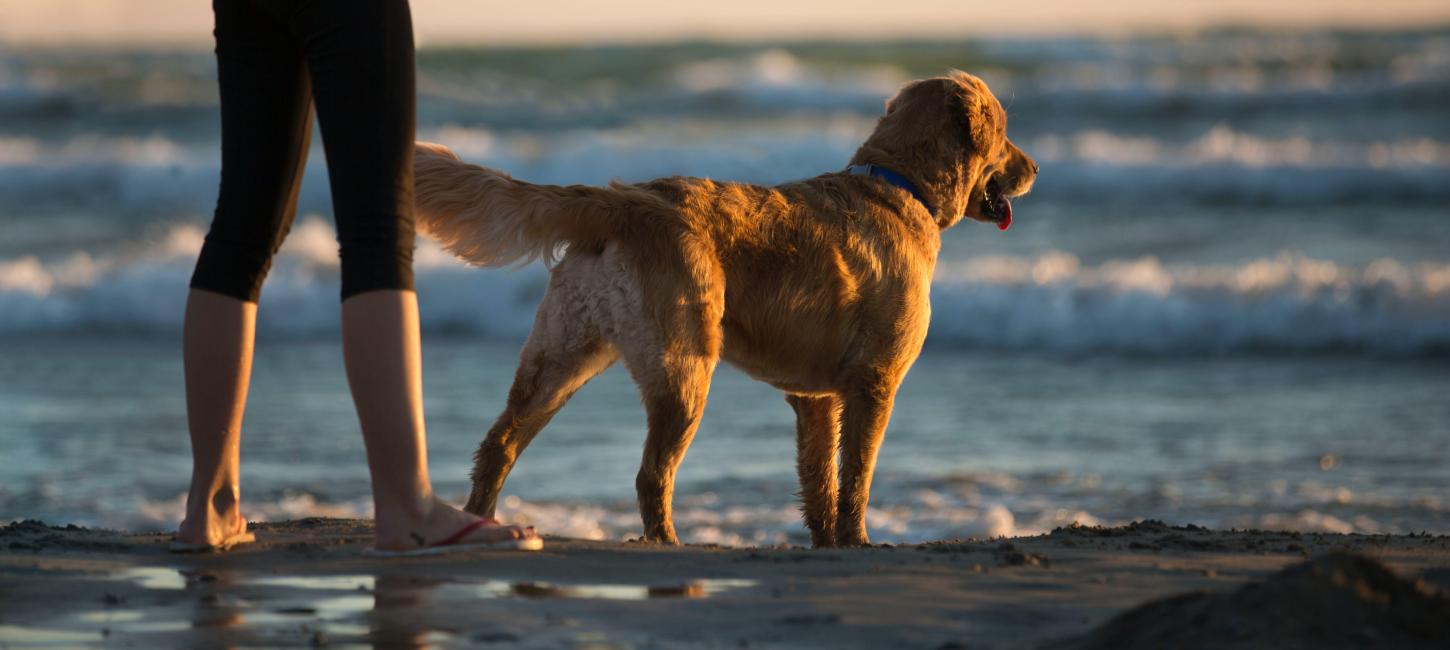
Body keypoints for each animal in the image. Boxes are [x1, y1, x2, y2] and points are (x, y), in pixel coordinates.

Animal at [414, 69, 1038, 548]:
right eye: (1005, 133)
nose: (1033, 169)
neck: (899, 184)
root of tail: (624, 200)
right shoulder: (875, 382)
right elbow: (856, 476)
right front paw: (858, 541)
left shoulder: (815, 398)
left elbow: (819, 479)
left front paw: (826, 543)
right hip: (683, 367)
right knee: (651, 474)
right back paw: (666, 543)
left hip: (562, 355)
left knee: (499, 444)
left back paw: (482, 523)